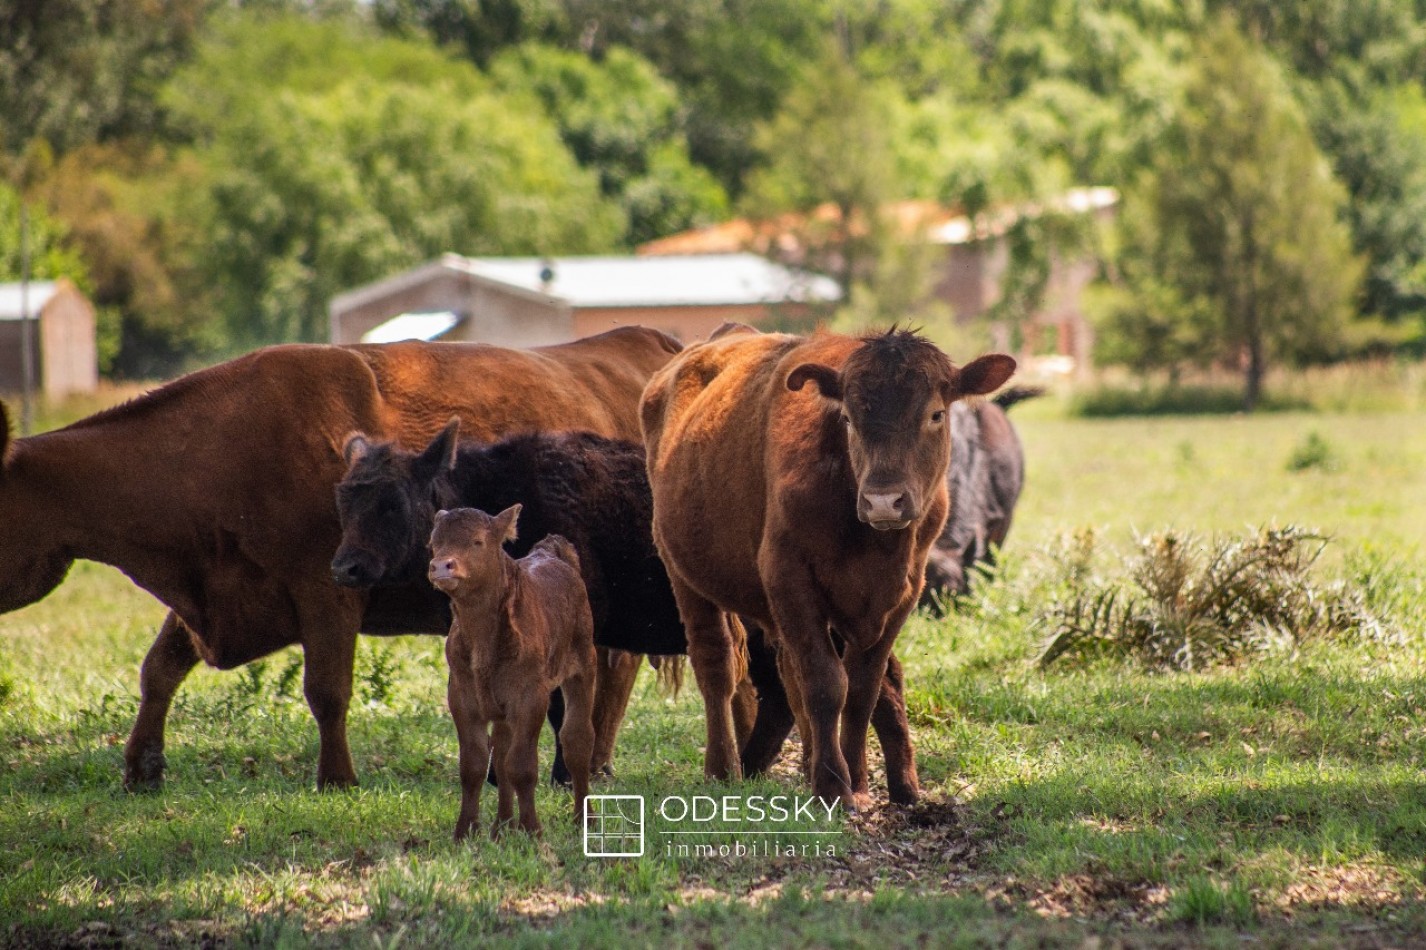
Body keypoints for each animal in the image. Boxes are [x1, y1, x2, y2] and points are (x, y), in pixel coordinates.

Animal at [0, 325, 675, 781]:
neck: (219, 453)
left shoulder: (325, 590)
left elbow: (326, 690)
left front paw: (337, 778)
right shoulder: (217, 592)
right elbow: (159, 668)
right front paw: (142, 766)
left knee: (609, 669)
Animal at [427, 502, 596, 838]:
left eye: (477, 541)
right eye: (434, 544)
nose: (441, 566)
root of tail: (552, 553)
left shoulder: (531, 696)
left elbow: (522, 766)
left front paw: (533, 831)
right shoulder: (461, 696)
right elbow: (475, 765)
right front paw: (465, 831)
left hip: (585, 663)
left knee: (577, 739)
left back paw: (584, 819)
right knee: (502, 748)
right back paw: (502, 825)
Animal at [641, 325, 1021, 804]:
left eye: (935, 414)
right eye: (848, 419)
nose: (884, 501)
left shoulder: (903, 593)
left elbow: (862, 687)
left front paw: (856, 781)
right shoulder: (789, 579)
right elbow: (826, 683)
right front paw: (833, 787)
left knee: (790, 672)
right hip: (683, 571)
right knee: (717, 665)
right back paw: (722, 768)